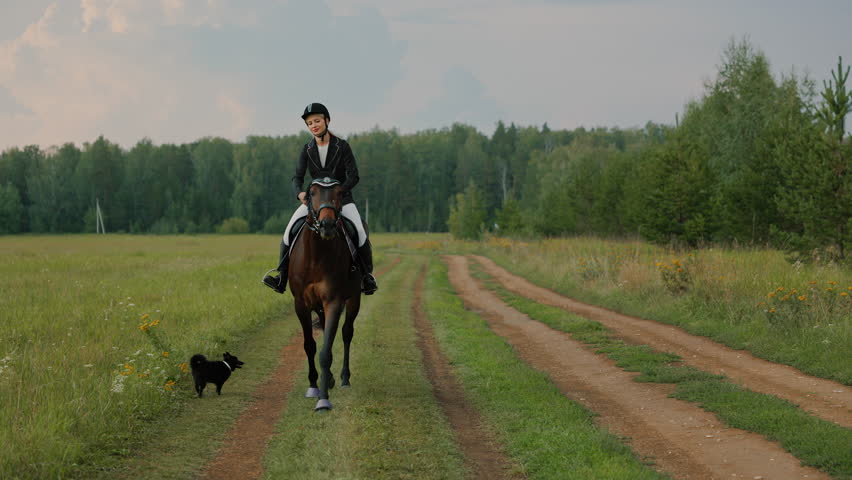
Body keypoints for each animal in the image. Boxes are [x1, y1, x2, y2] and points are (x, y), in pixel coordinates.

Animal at [288, 178, 362, 411]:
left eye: (339, 192)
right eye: (312, 192)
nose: (327, 225)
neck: (316, 254)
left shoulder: (334, 302)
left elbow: (326, 350)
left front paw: (323, 398)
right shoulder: (300, 304)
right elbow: (310, 345)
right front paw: (313, 386)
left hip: (354, 299)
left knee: (347, 333)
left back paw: (344, 378)